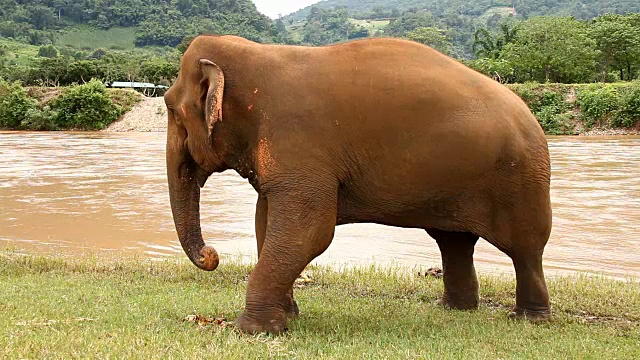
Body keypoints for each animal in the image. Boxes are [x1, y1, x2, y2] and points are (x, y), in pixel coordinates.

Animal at [164, 35, 552, 334]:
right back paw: (453, 309)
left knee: (525, 249)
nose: (211, 254)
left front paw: (251, 329)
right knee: (453, 242)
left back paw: (529, 319)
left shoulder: (299, 142)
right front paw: (288, 317)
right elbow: (267, 220)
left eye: (172, 110)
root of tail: (530, 113)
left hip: (521, 180)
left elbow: (310, 231)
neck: (257, 55)